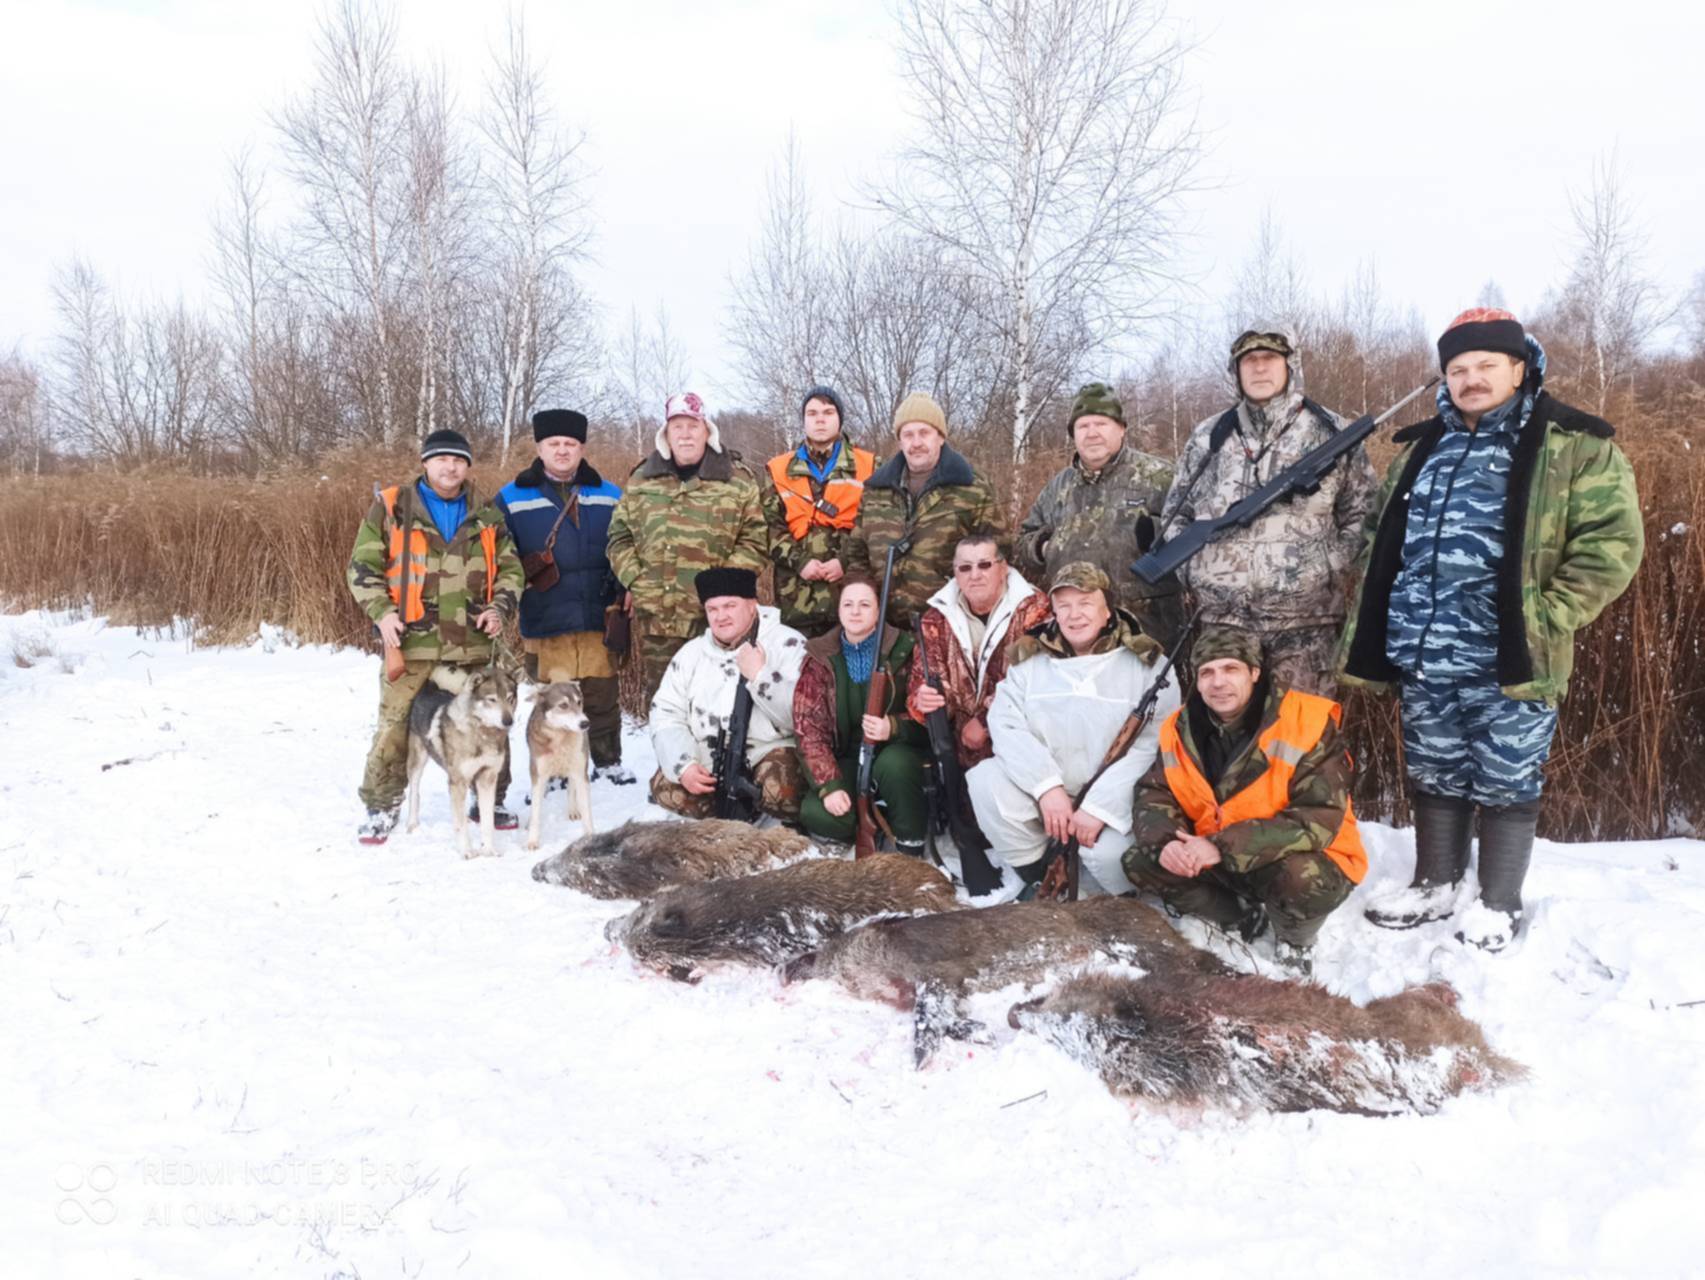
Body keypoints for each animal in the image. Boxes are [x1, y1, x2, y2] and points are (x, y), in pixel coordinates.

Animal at [402, 661, 514, 862]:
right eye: (492, 699)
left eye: (510, 698)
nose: (509, 721)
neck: (481, 734)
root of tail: (430, 687)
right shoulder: (458, 782)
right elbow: (461, 824)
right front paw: (467, 851)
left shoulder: (487, 778)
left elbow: (487, 821)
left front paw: (488, 851)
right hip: (417, 761)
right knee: (414, 793)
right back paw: (412, 824)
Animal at [525, 681, 593, 852]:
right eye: (563, 705)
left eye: (579, 702)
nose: (585, 723)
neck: (560, 737)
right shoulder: (538, 775)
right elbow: (535, 810)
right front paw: (532, 841)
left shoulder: (580, 772)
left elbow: (586, 811)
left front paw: (591, 837)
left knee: (571, 787)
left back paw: (573, 810)